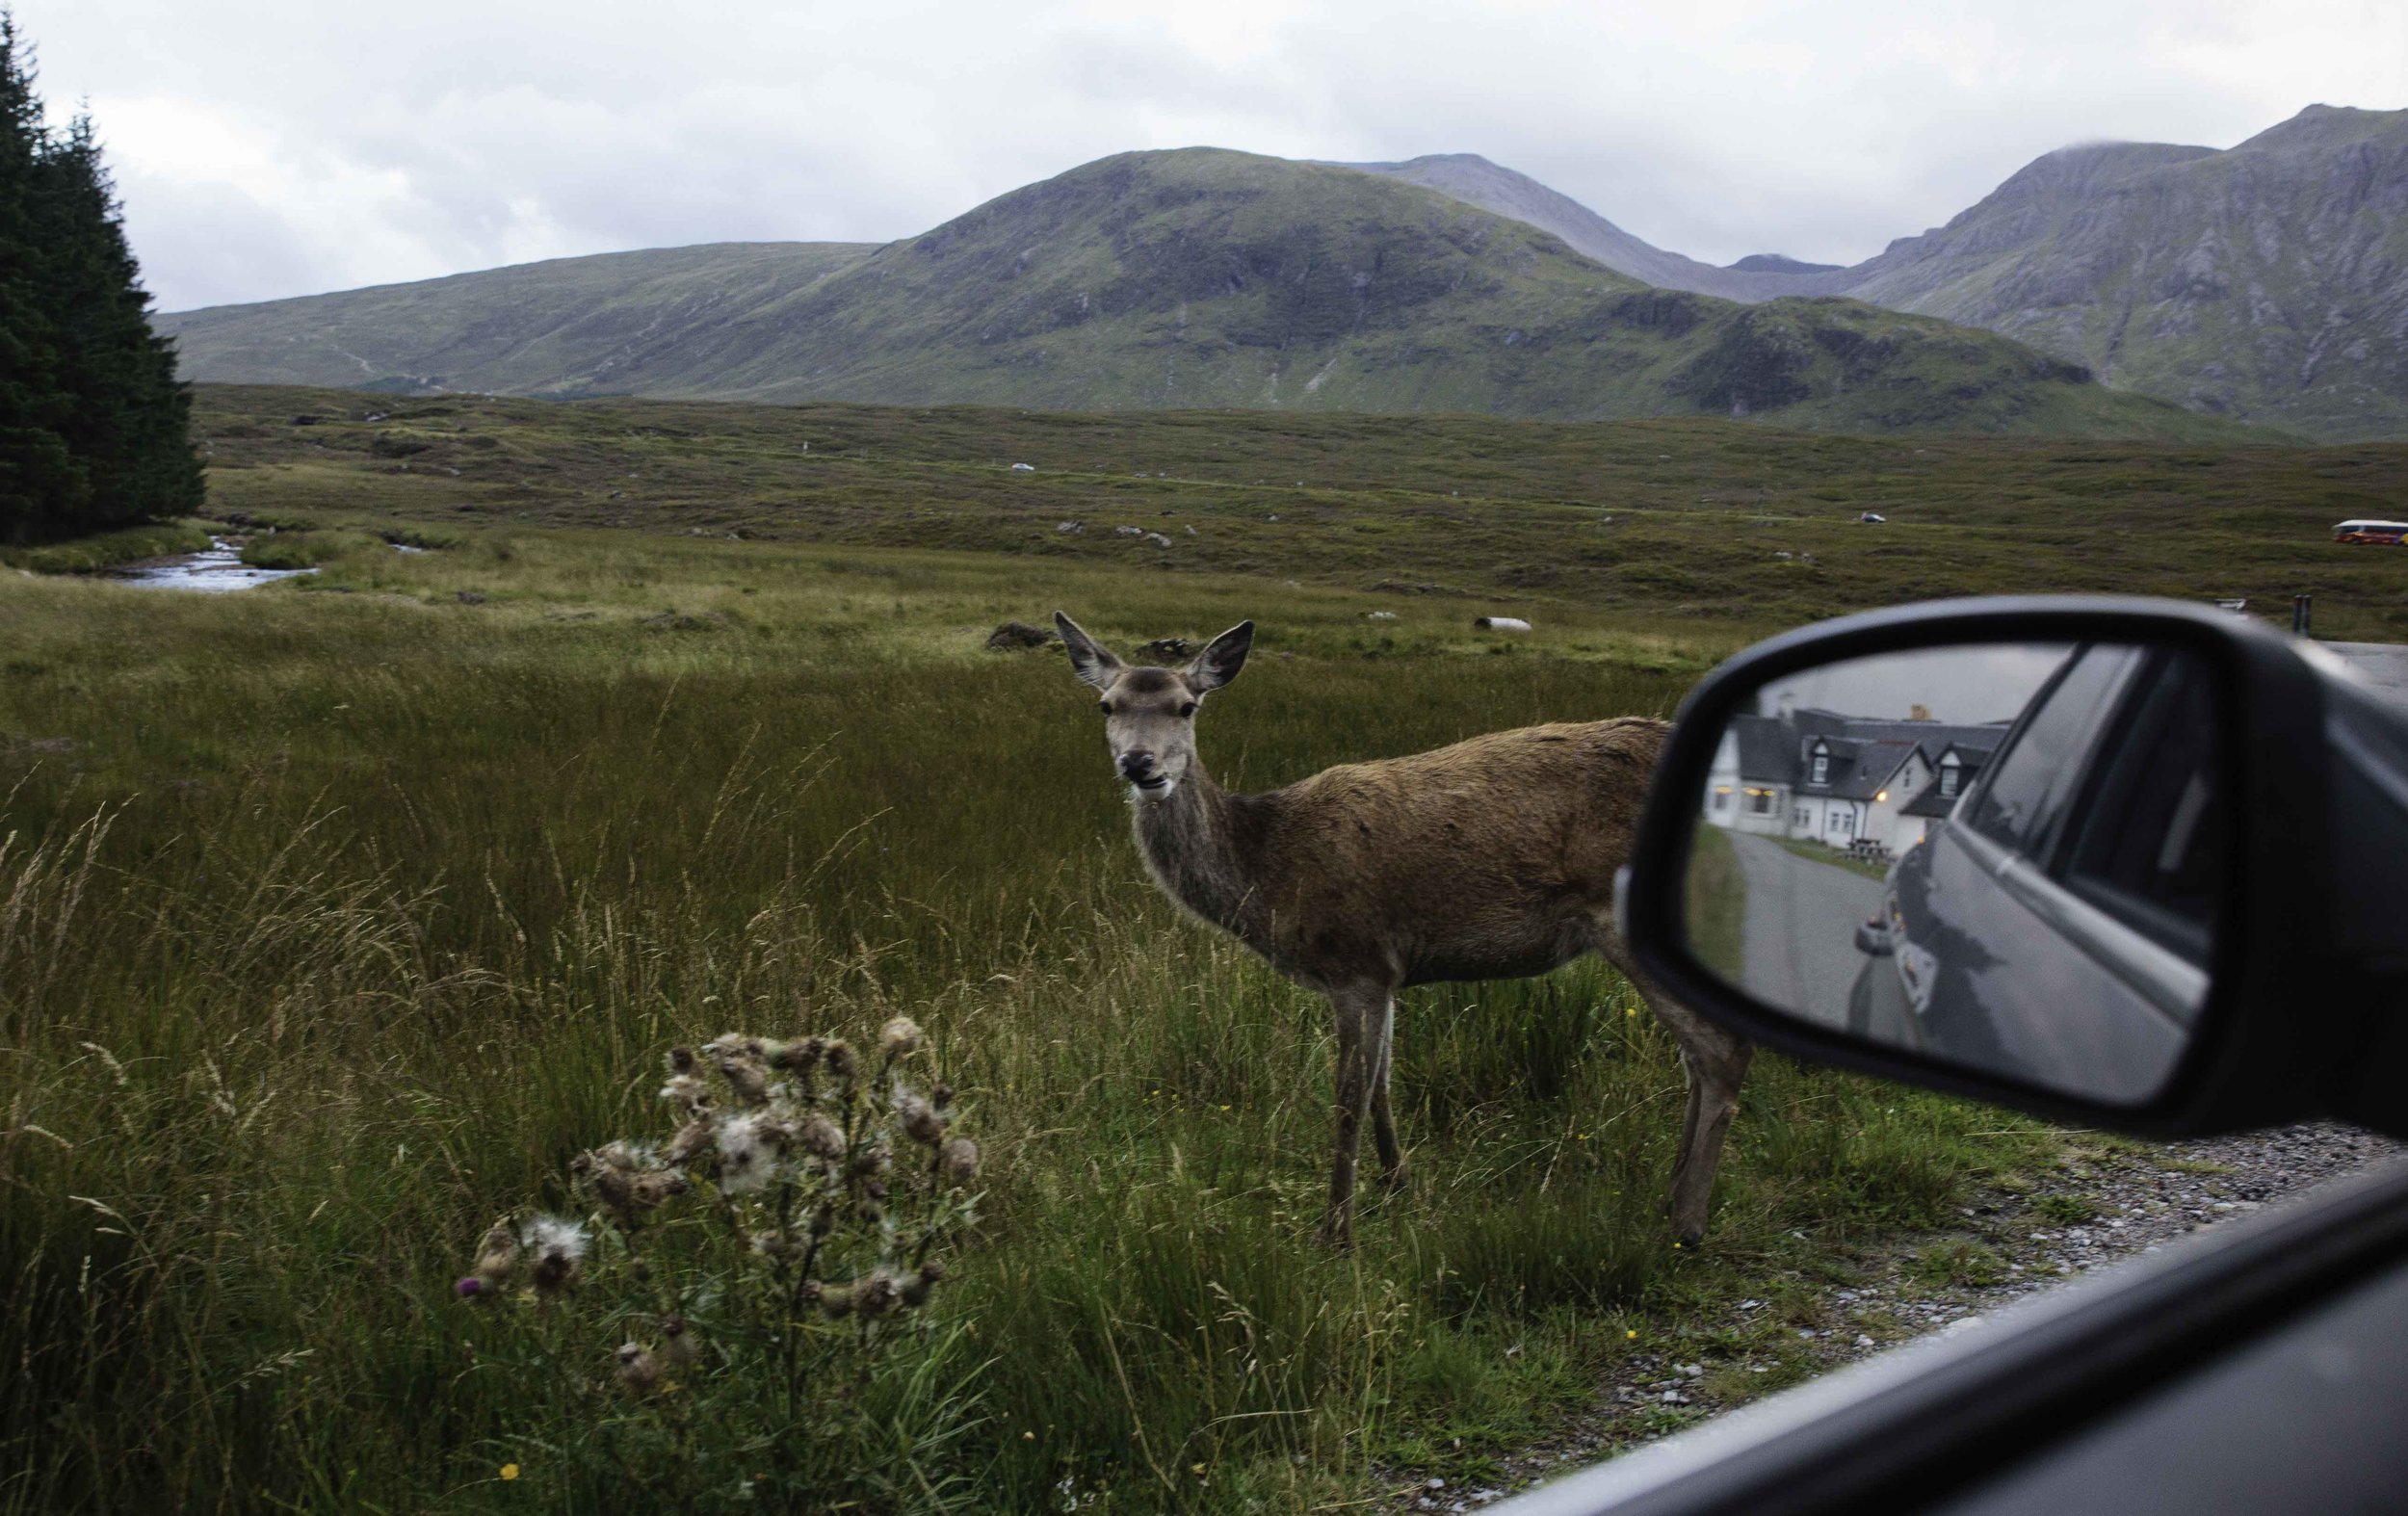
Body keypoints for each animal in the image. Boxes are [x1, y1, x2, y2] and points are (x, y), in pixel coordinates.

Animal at [1055, 611, 1753, 1251]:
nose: (1140, 764)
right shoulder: (1387, 971)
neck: (1270, 872)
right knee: (1696, 1056)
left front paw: (1335, 1230)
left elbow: (1348, 1096)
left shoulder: (1353, 959)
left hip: (1628, 915)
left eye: (1186, 705)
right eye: (1106, 705)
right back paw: (1671, 1194)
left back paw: (1687, 1221)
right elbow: (1384, 1086)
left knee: (1719, 1051)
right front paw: (1398, 1184)